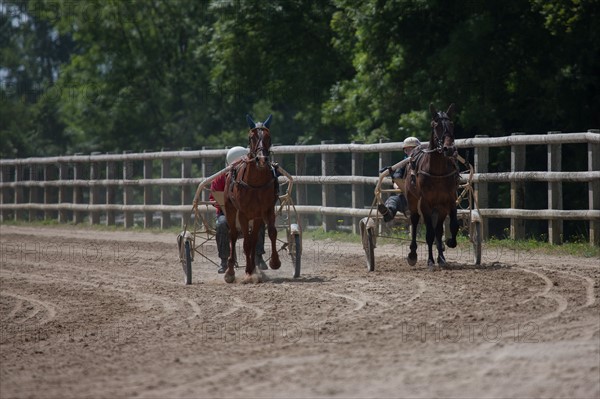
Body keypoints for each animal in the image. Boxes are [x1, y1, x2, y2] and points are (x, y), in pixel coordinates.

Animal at [223, 114, 282, 284]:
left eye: (269, 137)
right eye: (251, 137)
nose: (262, 159)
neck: (255, 183)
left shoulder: (265, 210)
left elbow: (271, 232)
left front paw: (274, 261)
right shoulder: (242, 214)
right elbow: (246, 242)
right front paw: (248, 271)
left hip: (256, 217)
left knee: (254, 238)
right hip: (230, 210)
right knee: (233, 235)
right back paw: (230, 271)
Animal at [408, 104, 460, 270]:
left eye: (452, 124)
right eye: (436, 126)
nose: (449, 149)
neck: (437, 171)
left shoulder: (449, 201)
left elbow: (451, 226)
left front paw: (448, 245)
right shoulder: (425, 203)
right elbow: (429, 233)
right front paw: (430, 261)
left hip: (439, 207)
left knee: (438, 229)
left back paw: (441, 257)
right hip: (412, 201)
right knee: (415, 220)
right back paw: (413, 254)